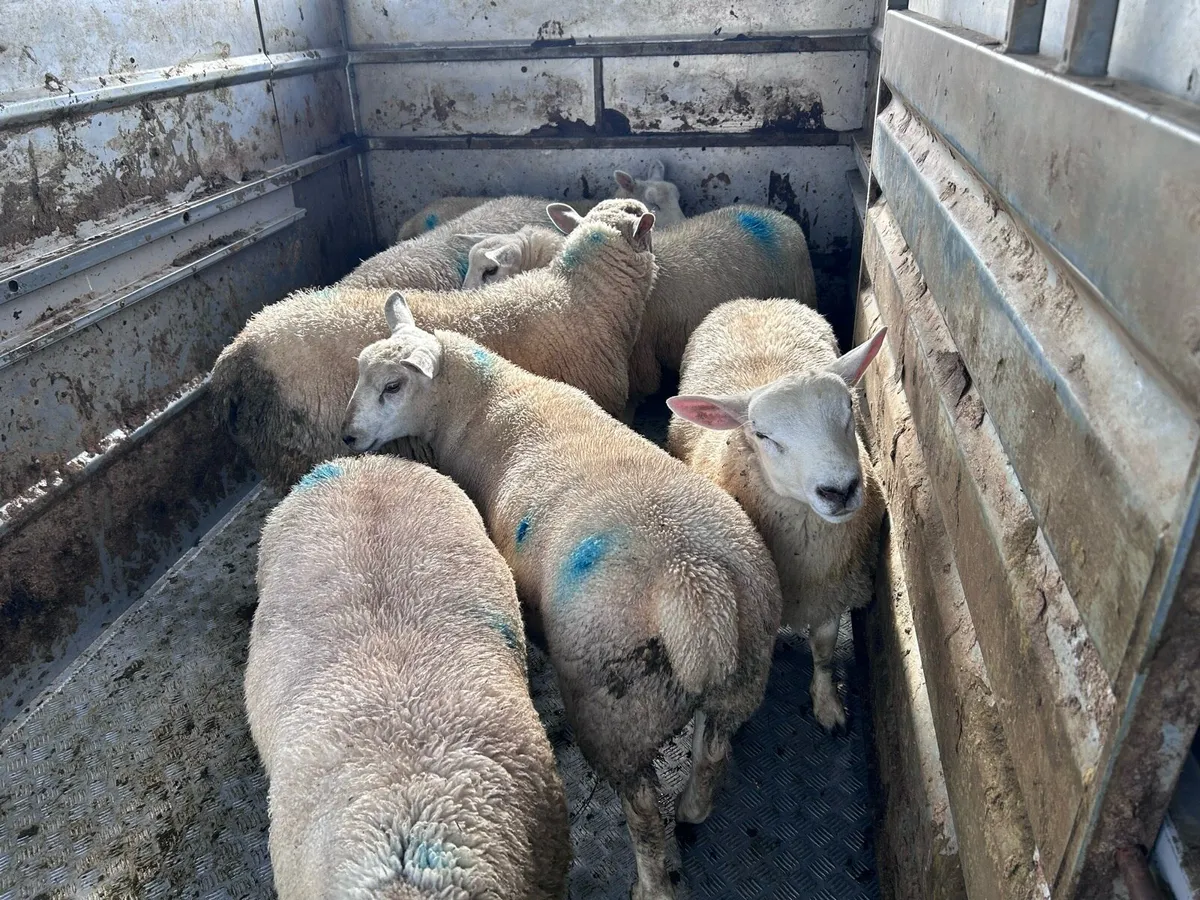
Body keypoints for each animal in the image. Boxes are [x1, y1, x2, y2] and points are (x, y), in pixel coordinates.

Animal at [341, 308, 783, 900]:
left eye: (393, 385)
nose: (348, 435)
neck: (483, 400)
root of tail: (693, 583)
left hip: (615, 712)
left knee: (644, 814)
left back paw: (650, 883)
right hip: (741, 675)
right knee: (712, 749)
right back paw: (693, 806)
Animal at [665, 299, 887, 732]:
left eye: (849, 408)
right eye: (763, 435)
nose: (840, 490)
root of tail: (753, 301)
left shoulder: (830, 590)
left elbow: (824, 650)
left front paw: (827, 704)